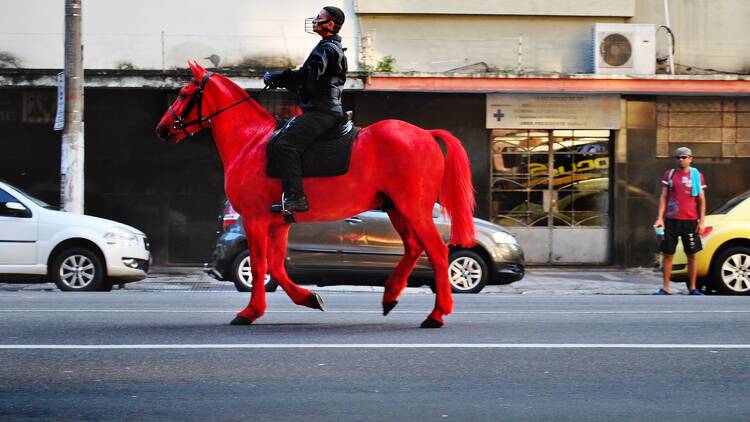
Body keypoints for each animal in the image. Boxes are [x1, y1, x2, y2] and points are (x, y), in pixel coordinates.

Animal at [157, 62, 476, 328]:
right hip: (397, 208)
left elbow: (259, 266)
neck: (252, 142)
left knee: (437, 251)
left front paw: (250, 312)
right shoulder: (278, 223)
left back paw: (436, 314)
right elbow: (277, 267)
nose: (162, 130)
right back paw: (390, 295)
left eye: (184, 94)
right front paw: (308, 298)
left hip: (414, 208)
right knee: (412, 247)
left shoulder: (255, 219)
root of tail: (425, 134)